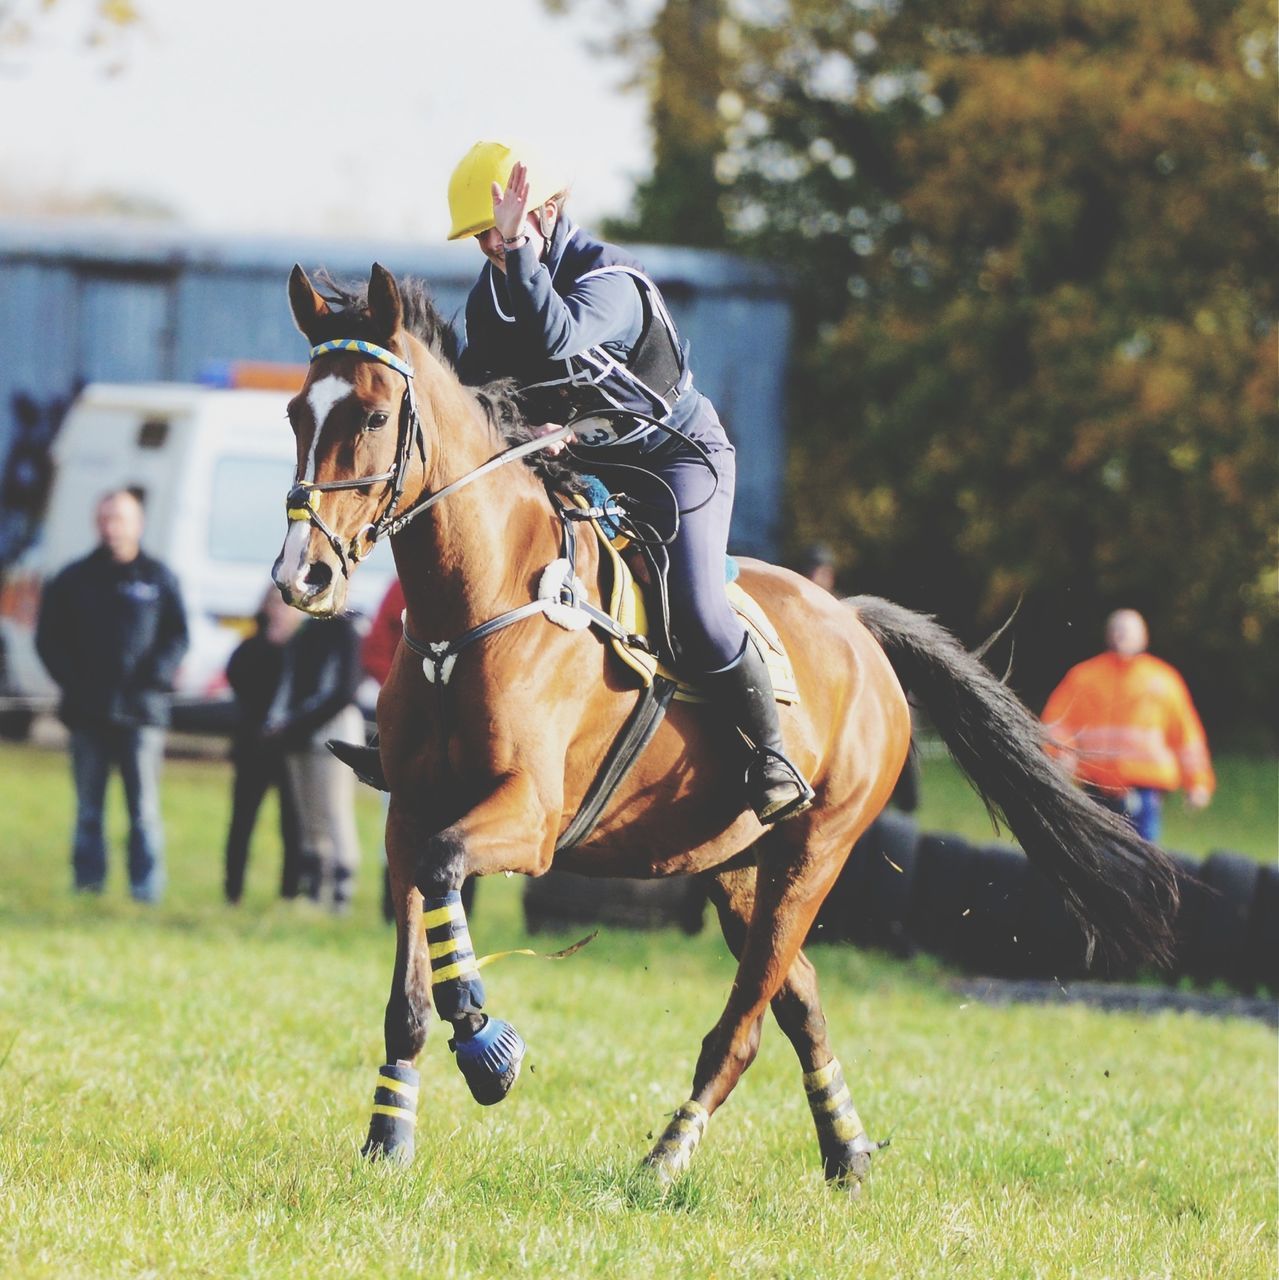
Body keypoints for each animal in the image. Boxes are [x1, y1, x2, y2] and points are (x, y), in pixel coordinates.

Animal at [272, 262, 1177, 1187]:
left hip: (812, 858)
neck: (474, 610)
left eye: (373, 415)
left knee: (742, 1028)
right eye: (297, 414)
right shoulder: (410, 816)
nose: (302, 577)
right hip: (734, 866)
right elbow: (409, 984)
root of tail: (856, 627)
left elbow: (448, 869)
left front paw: (488, 1048)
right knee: (800, 1002)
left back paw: (665, 1160)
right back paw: (846, 1153)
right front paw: (388, 1138)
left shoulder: (528, 818)